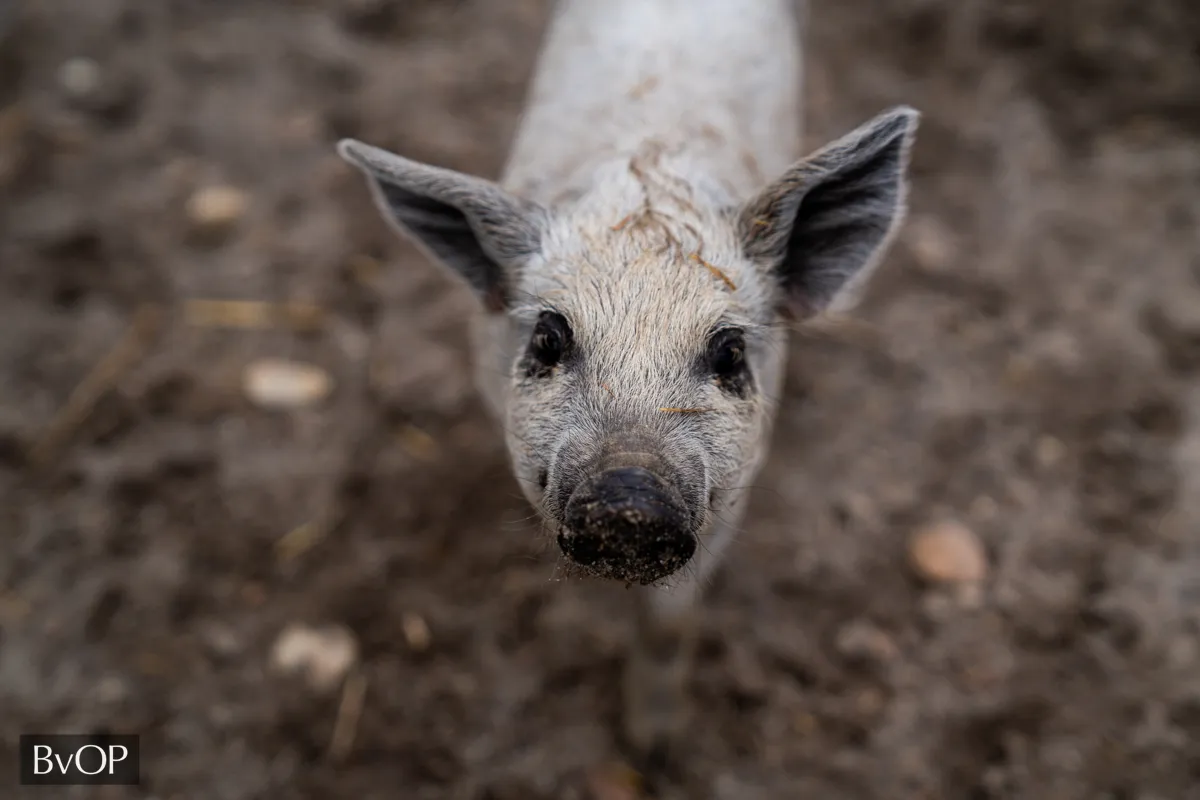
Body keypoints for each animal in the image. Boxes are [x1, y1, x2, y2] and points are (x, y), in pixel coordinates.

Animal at [338, 0, 916, 767]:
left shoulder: (731, 495)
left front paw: (653, 749)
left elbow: (670, 623)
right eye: (549, 338)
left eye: (730, 352)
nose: (629, 498)